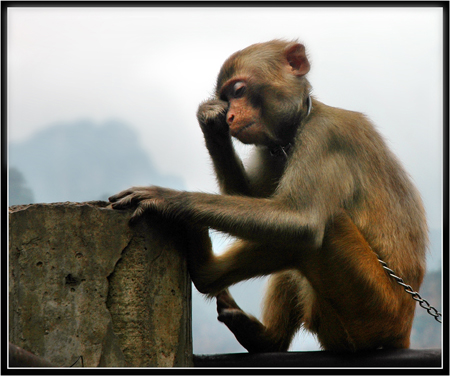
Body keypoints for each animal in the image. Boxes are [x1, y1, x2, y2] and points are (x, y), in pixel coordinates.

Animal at [107, 40, 428, 352]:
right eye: (226, 98)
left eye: (239, 91)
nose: (231, 116)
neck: (300, 123)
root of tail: (403, 331)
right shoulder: (271, 149)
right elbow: (254, 199)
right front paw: (211, 125)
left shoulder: (325, 136)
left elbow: (299, 221)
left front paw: (169, 199)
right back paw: (258, 328)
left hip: (376, 310)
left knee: (319, 228)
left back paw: (207, 273)